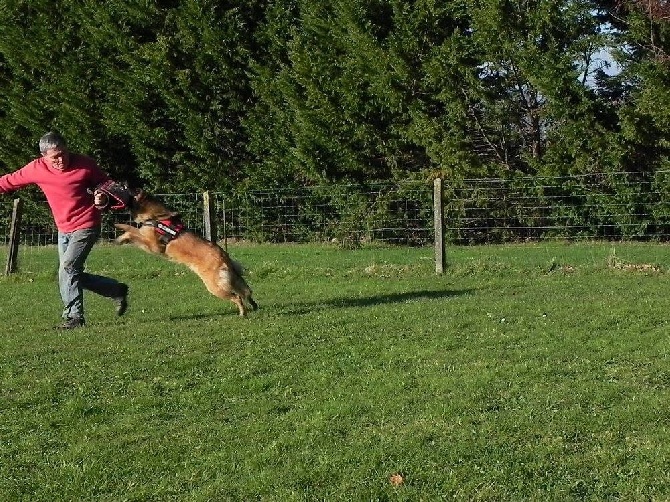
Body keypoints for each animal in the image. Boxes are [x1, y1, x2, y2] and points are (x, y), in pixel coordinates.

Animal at [114, 190, 258, 316]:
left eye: (130, 192)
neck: (157, 217)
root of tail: (224, 256)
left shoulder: (153, 246)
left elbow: (132, 230)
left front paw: (120, 228)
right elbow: (133, 231)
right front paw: (121, 238)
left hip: (215, 286)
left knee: (237, 297)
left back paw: (243, 313)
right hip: (233, 280)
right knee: (247, 292)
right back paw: (254, 306)